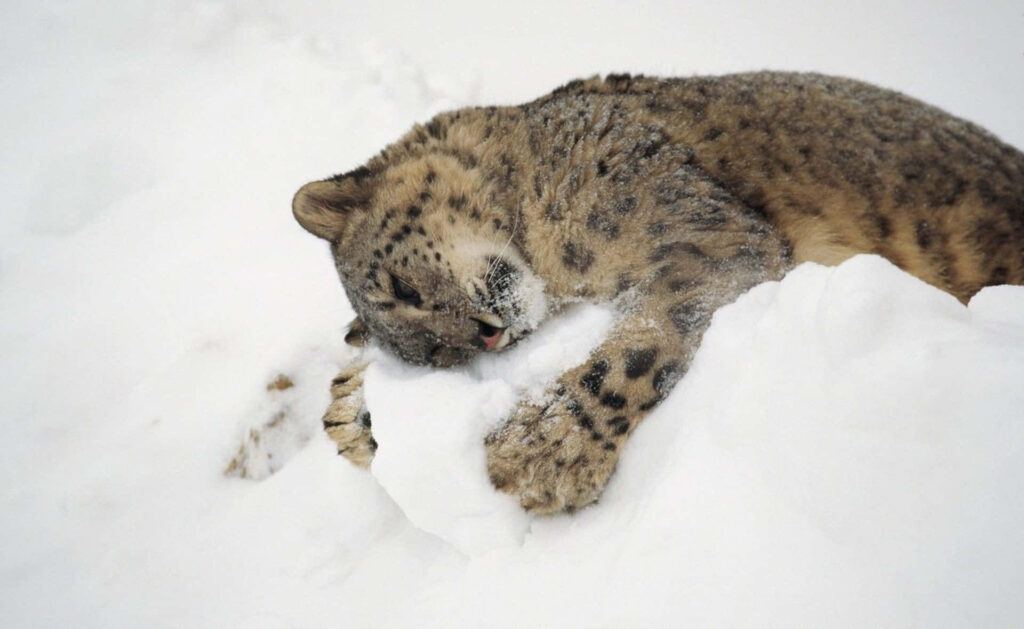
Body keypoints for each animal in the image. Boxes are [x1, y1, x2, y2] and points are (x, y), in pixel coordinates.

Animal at [293, 72, 1024, 514]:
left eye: (399, 287)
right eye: (434, 358)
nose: (487, 335)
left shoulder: (706, 237)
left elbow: (640, 345)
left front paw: (538, 452)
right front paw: (355, 414)